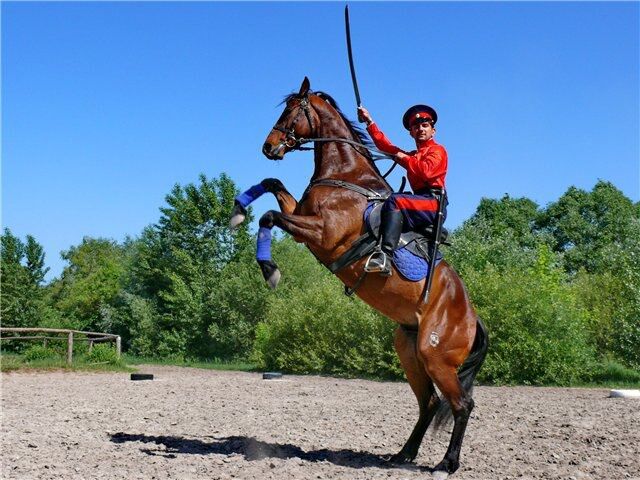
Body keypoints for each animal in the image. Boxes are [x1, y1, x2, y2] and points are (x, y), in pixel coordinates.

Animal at [232, 77, 488, 474]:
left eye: (291, 111)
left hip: (436, 357)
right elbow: (272, 184)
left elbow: (270, 216)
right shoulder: (302, 218)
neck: (346, 176)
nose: (269, 146)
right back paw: (403, 455)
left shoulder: (322, 233)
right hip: (410, 352)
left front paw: (269, 270)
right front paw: (238, 209)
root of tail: (472, 317)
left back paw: (447, 463)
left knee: (461, 404)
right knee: (429, 403)